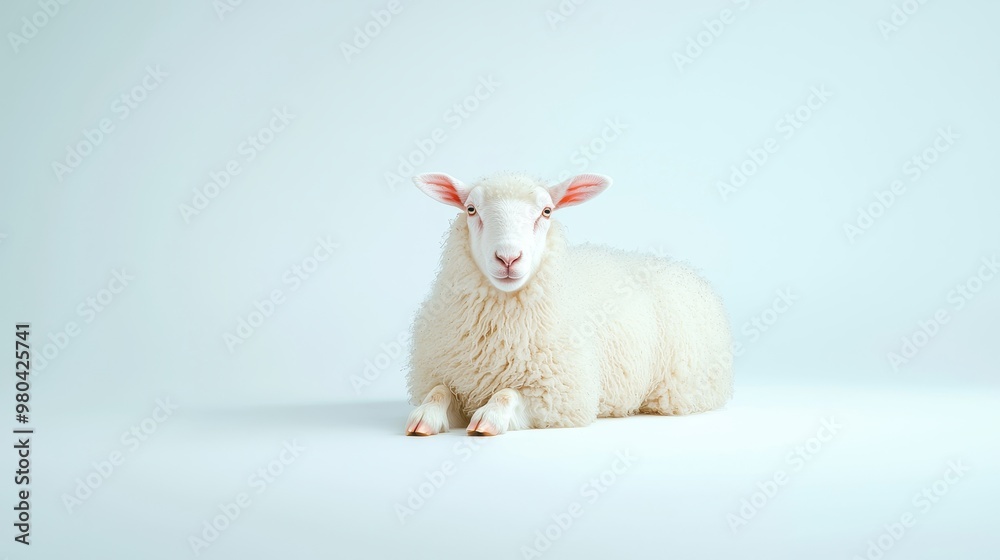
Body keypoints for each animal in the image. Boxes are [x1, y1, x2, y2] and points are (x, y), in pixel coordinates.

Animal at [404, 172, 733, 436]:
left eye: (546, 211)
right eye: (471, 209)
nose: (508, 258)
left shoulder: (559, 395)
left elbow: (507, 394)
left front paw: (490, 417)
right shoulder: (444, 376)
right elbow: (438, 392)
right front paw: (424, 416)